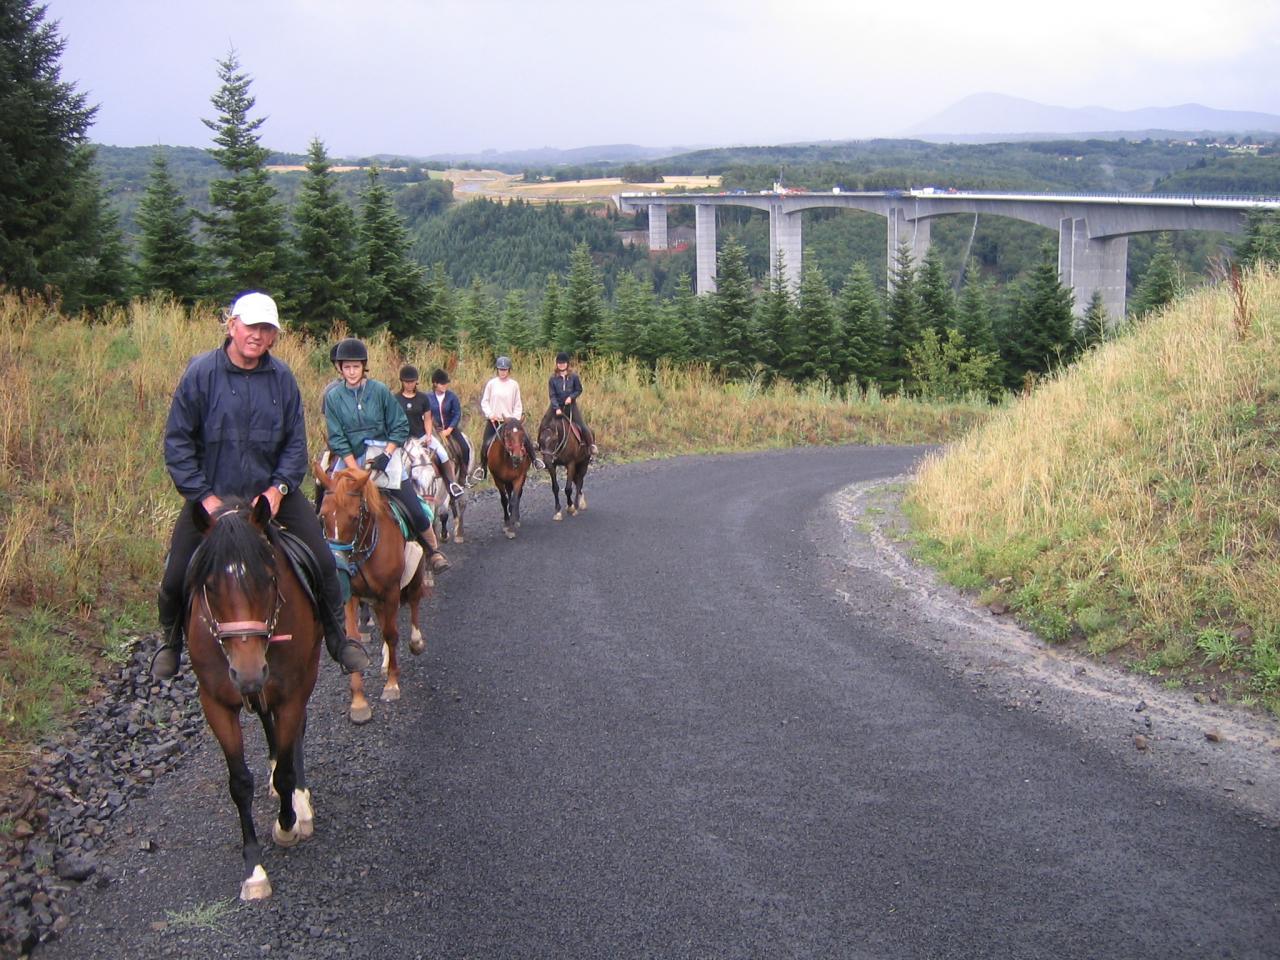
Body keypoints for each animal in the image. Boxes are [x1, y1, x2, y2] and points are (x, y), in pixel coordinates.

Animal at [185, 496, 325, 901]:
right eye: (209, 585)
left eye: (269, 578)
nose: (248, 673)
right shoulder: (216, 704)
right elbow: (239, 783)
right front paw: (254, 869)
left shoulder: (291, 692)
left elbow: (288, 768)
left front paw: (287, 823)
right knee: (268, 723)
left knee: (295, 734)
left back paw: (299, 800)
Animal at [313, 463, 430, 721]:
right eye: (322, 516)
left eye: (354, 517)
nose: (337, 564)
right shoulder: (352, 597)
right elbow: (354, 639)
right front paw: (358, 702)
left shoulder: (391, 591)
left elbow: (392, 633)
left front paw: (392, 685)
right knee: (384, 618)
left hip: (414, 576)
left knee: (414, 603)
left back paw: (416, 642)